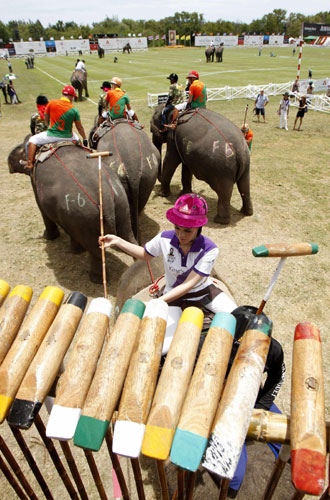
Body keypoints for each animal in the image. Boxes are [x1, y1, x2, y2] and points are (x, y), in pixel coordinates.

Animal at [7, 139, 137, 284]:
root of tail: (107, 197)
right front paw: (76, 250)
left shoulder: (34, 180)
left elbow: (41, 208)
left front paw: (50, 238)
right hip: (122, 204)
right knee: (129, 237)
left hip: (85, 216)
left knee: (96, 250)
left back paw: (95, 279)